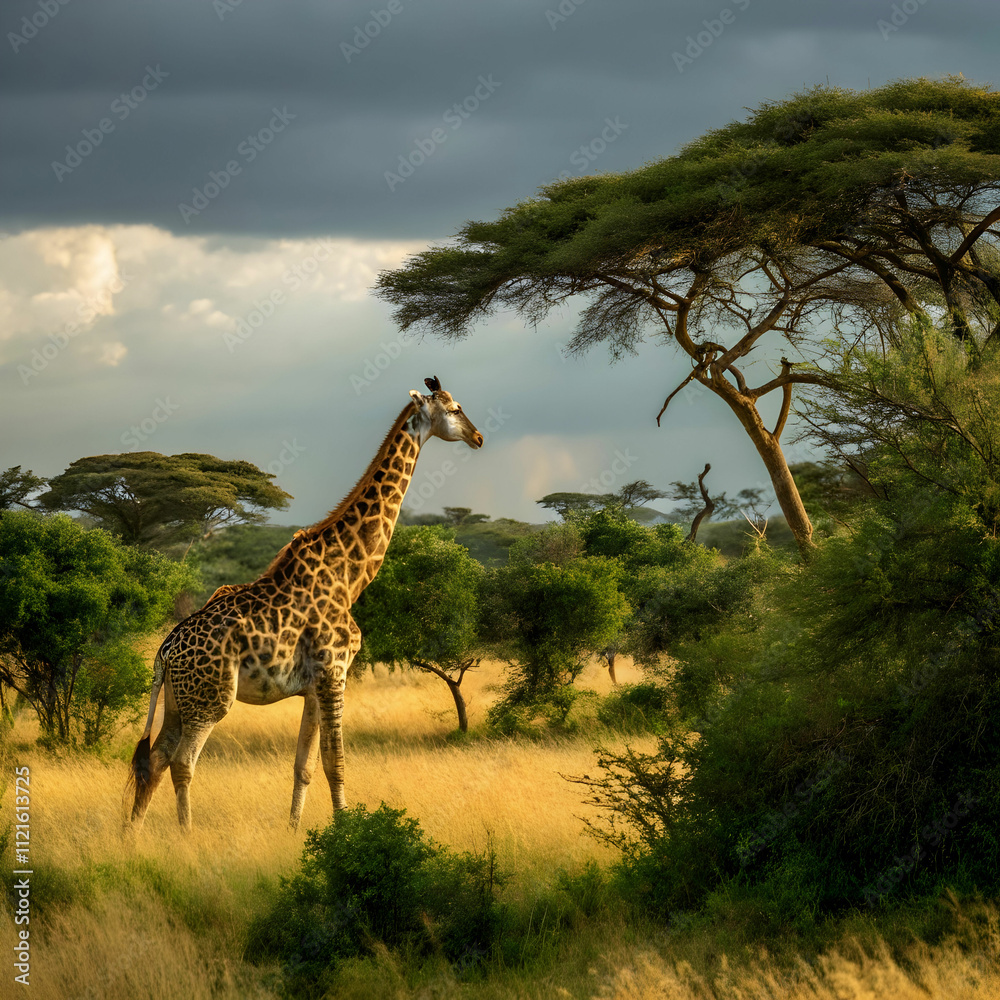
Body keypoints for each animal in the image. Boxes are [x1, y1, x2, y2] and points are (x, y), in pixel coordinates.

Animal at [128, 377, 483, 830]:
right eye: (454, 409)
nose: (478, 437)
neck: (350, 575)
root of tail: (165, 650)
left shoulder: (314, 686)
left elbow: (305, 765)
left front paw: (294, 830)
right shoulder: (335, 672)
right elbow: (336, 761)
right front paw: (345, 830)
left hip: (178, 700)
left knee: (154, 759)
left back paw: (132, 835)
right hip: (210, 700)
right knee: (182, 762)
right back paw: (185, 835)